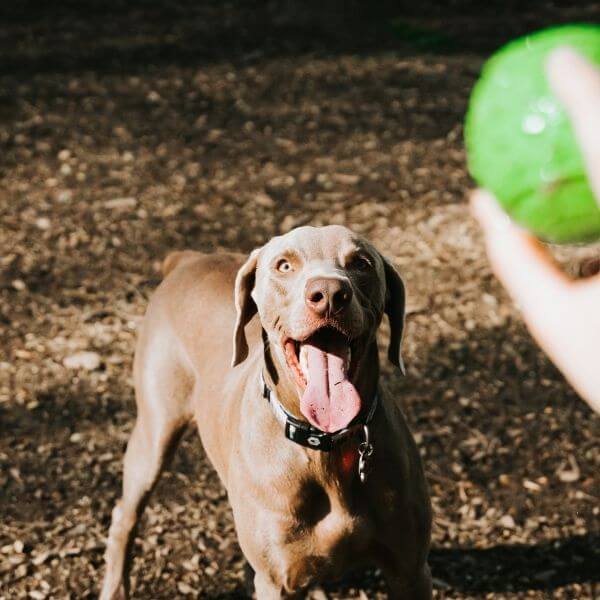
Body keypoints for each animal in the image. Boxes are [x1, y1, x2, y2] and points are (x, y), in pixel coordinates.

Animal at [99, 226, 432, 600]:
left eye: (361, 263)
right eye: (284, 265)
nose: (329, 294)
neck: (325, 447)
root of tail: (188, 260)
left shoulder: (411, 572)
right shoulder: (277, 581)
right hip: (155, 432)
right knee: (124, 515)